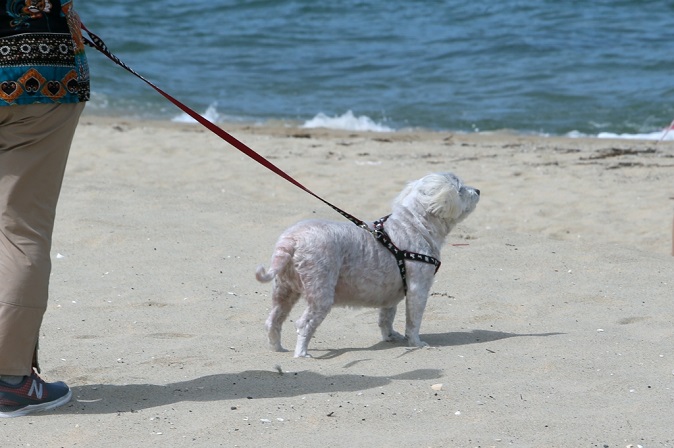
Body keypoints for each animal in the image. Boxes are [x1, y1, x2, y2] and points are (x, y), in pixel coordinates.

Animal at [253, 172, 478, 356]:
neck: (416, 226)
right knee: (303, 324)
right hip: (320, 291)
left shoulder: (391, 294)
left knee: (273, 321)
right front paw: (416, 343)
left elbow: (386, 318)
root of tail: (291, 240)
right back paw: (301, 353)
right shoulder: (418, 288)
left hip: (284, 290)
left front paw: (391, 336)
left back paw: (277, 348)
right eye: (460, 188)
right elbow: (414, 321)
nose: (478, 190)